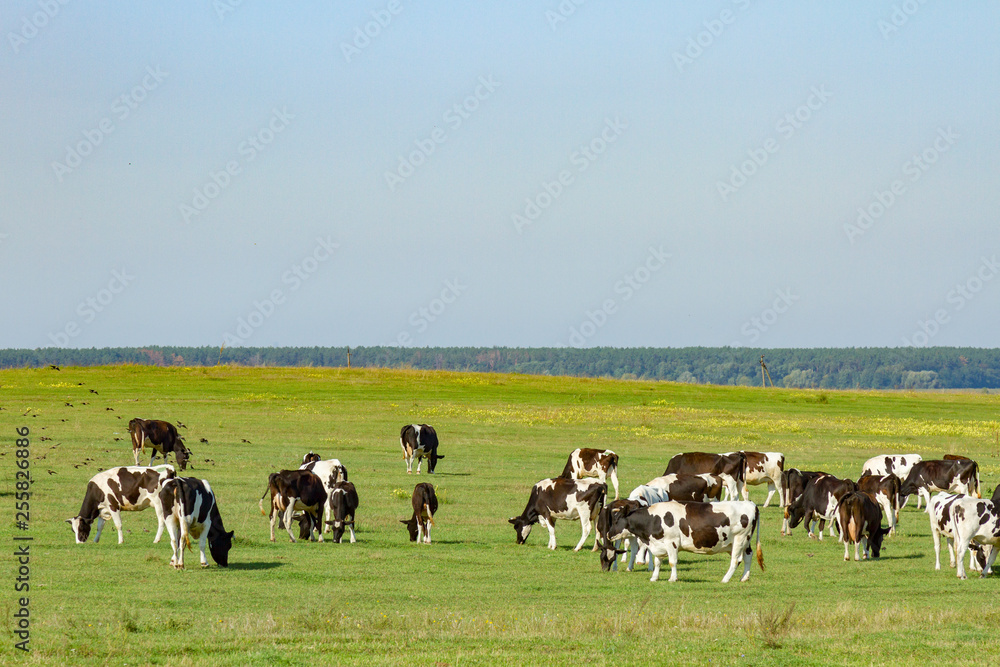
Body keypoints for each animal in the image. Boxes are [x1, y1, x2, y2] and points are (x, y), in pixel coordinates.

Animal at [598, 500, 764, 583]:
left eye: (617, 520)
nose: (608, 534)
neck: (653, 519)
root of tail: (751, 504)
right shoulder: (658, 543)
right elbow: (657, 562)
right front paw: (654, 577)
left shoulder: (671, 543)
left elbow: (672, 562)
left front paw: (672, 578)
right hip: (743, 542)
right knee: (748, 556)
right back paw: (744, 578)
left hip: (740, 538)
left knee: (736, 560)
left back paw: (725, 579)